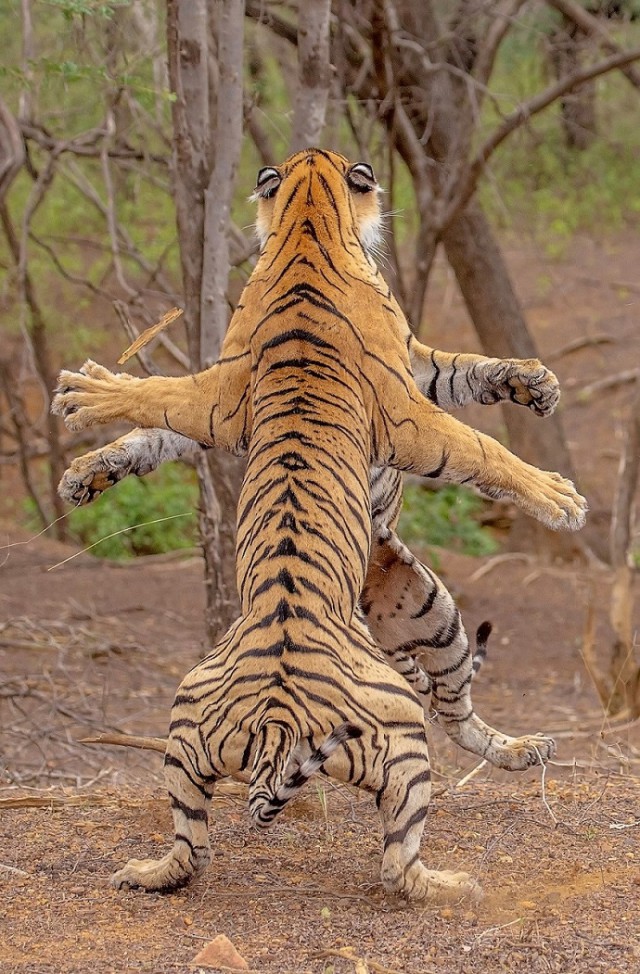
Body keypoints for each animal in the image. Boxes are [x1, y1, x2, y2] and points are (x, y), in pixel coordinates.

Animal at [53, 149, 584, 904]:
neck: (306, 222)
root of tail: (279, 717)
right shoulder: (395, 405)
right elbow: (482, 449)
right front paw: (561, 496)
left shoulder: (328, 384)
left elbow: (468, 371)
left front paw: (532, 382)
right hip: (395, 713)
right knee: (399, 855)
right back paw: (459, 884)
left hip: (405, 632)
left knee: (449, 716)